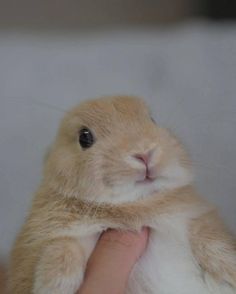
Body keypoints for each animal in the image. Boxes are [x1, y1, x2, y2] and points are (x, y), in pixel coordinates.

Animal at [7, 95, 236, 292]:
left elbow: (210, 238)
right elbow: (62, 247)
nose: (144, 153)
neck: (135, 205)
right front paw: (55, 285)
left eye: (152, 119)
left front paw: (230, 267)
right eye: (84, 137)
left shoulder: (196, 217)